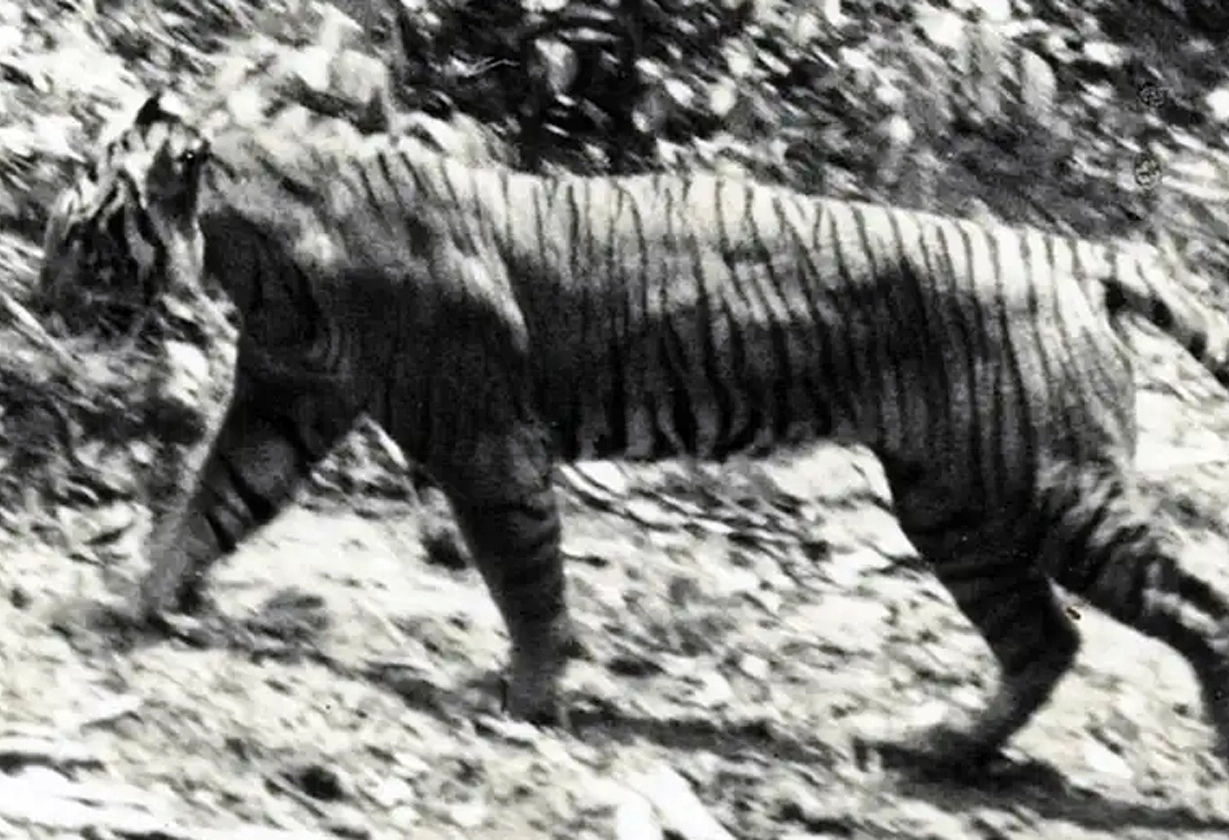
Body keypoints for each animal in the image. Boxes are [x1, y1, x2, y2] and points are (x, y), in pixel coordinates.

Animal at [40, 91, 1229, 776]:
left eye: (75, 227)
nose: (40, 294)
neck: (255, 250)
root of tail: (1067, 250)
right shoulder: (283, 403)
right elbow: (208, 507)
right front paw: (127, 605)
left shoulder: (482, 442)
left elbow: (524, 575)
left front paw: (526, 703)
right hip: (954, 506)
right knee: (1043, 638)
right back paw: (936, 749)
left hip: (1051, 486)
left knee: (1188, 606)